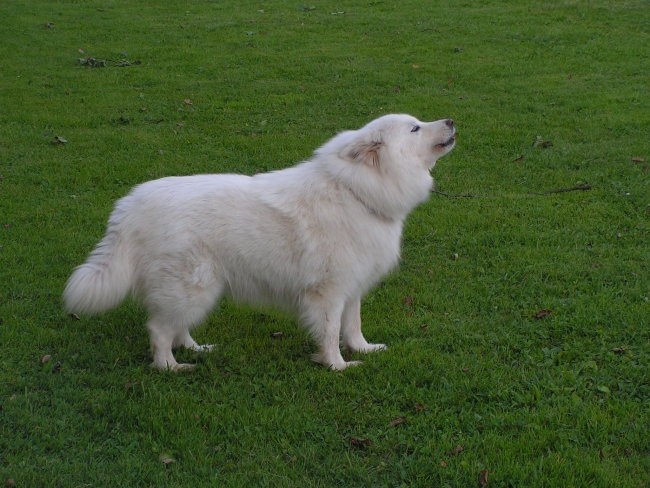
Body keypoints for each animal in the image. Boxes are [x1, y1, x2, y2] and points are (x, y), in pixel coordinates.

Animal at [62, 113, 456, 370]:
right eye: (415, 127)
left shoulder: (351, 287)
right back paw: (171, 367)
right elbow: (331, 333)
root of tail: (132, 205)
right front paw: (337, 366)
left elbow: (353, 326)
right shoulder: (328, 292)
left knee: (177, 327)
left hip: (194, 292)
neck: (357, 192)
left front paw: (364, 350)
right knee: (159, 331)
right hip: (192, 286)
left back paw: (197, 349)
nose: (452, 121)